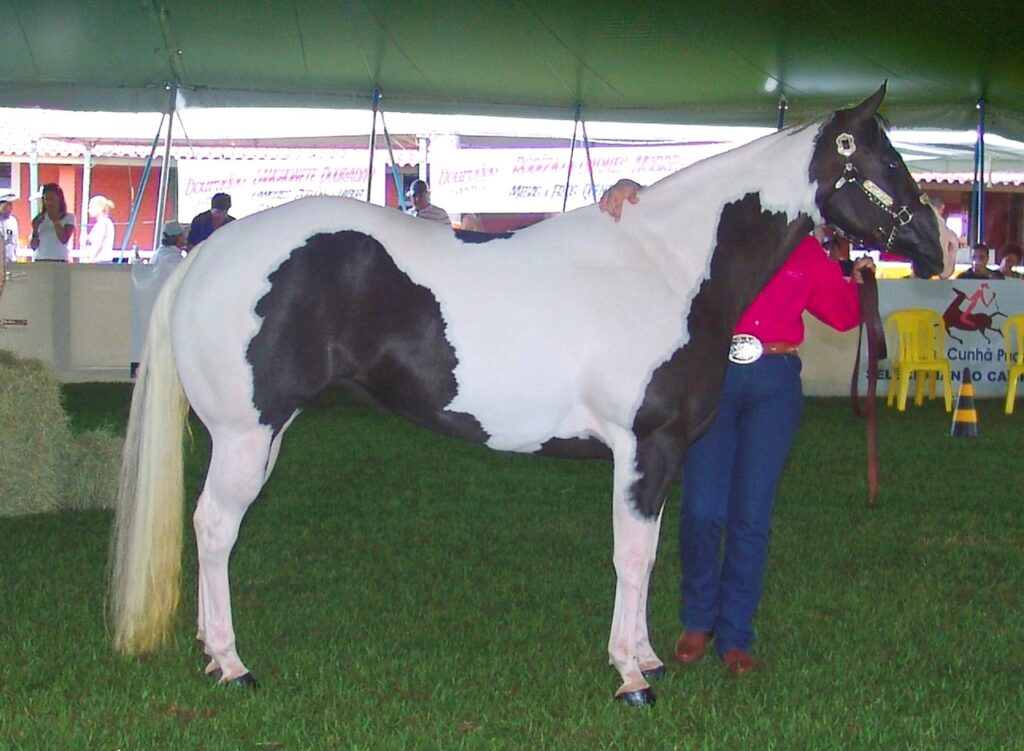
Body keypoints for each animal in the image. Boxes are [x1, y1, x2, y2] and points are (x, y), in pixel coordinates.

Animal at [110, 85, 943, 708]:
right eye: (881, 156)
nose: (937, 245)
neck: (671, 265)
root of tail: (212, 252)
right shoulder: (645, 445)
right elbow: (633, 554)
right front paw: (632, 675)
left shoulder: (665, 454)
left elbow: (650, 552)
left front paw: (649, 654)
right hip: (246, 435)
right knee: (214, 528)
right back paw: (232, 663)